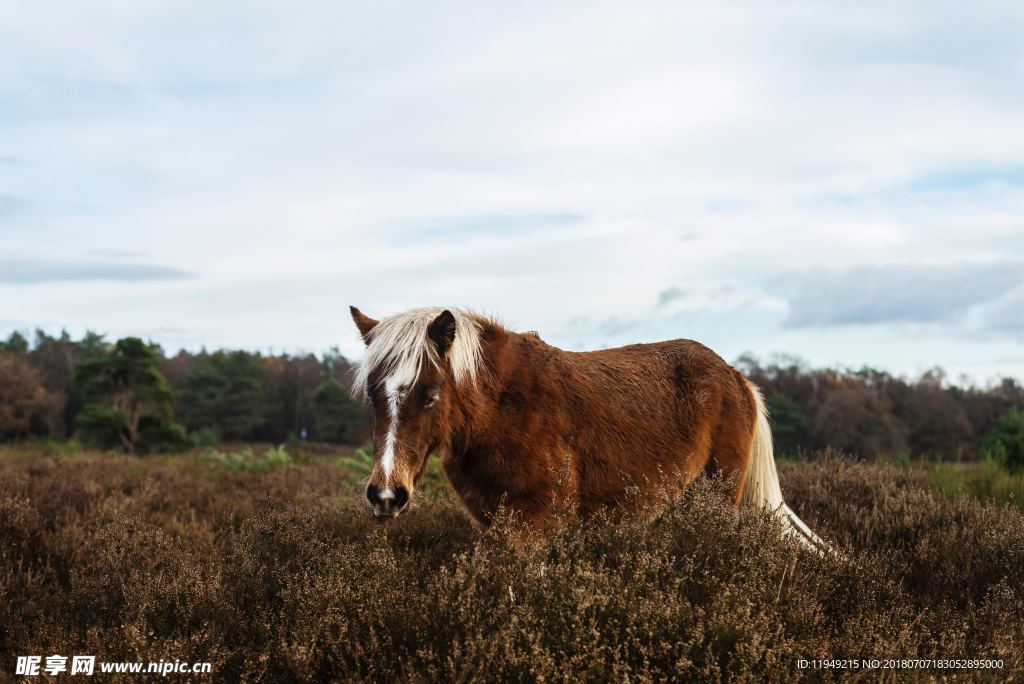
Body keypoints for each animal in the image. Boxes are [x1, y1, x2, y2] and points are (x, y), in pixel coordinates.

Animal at [348, 305, 827, 548]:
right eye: (373, 395)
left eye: (429, 395)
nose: (386, 495)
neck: (499, 411)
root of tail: (737, 378)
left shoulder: (533, 523)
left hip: (719, 498)